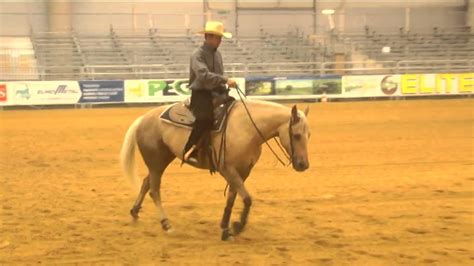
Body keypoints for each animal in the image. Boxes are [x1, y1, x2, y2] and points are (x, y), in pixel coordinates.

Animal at [120, 100, 310, 241]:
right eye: (296, 135)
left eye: (309, 135)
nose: (303, 165)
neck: (246, 127)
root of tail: (143, 118)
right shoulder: (228, 170)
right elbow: (247, 199)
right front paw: (237, 227)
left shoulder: (242, 172)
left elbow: (232, 199)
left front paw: (225, 229)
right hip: (156, 162)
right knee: (154, 190)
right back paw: (166, 224)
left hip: (162, 160)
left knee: (146, 183)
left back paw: (135, 213)